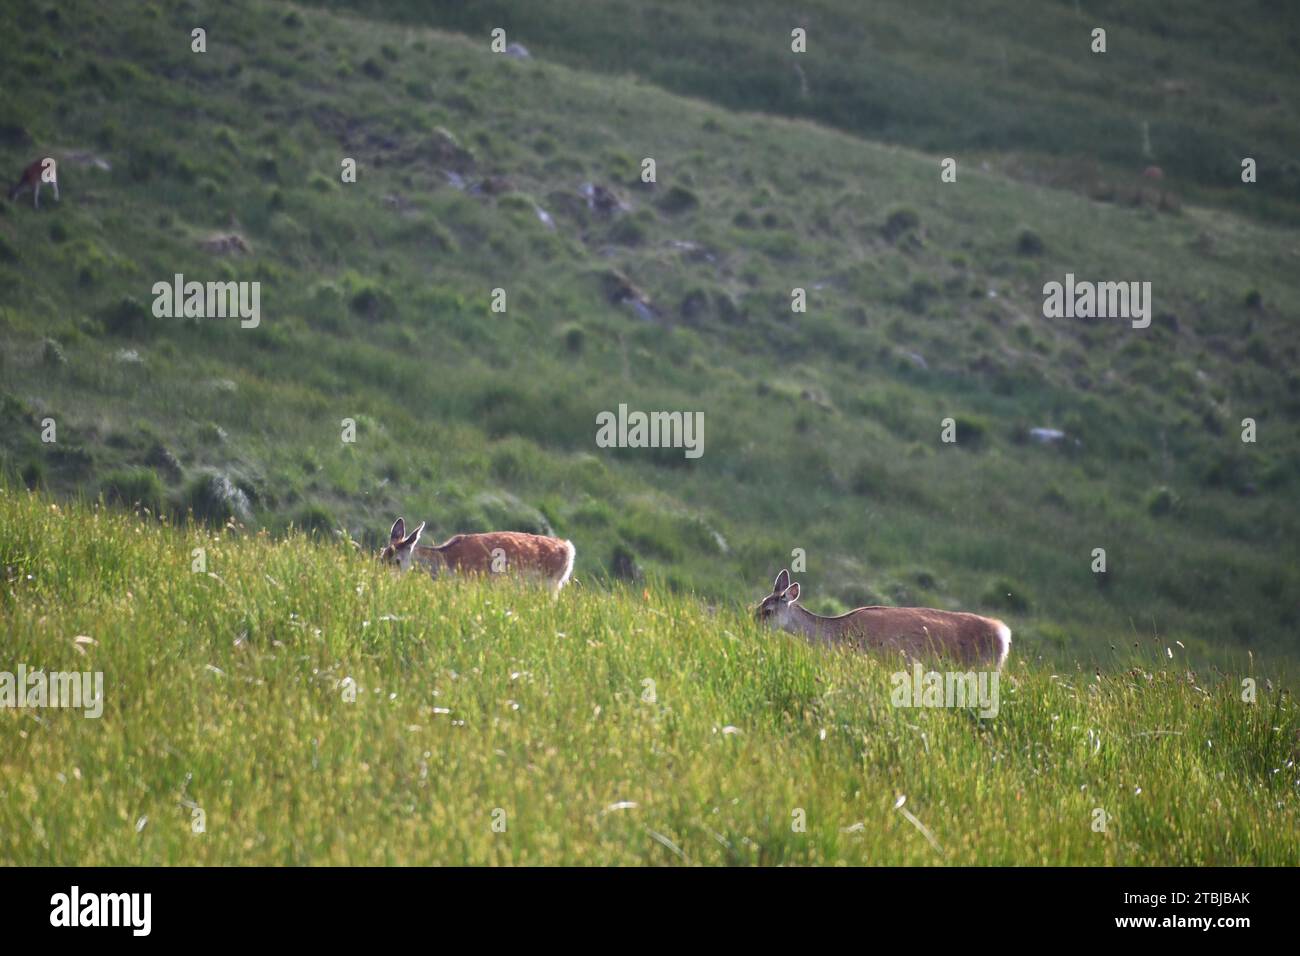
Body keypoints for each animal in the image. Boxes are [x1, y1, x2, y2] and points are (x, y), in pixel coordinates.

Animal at [755, 569, 1011, 670]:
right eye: (760, 604)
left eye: (768, 611)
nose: (753, 625)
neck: (838, 635)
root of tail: (1003, 632)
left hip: (983, 665)